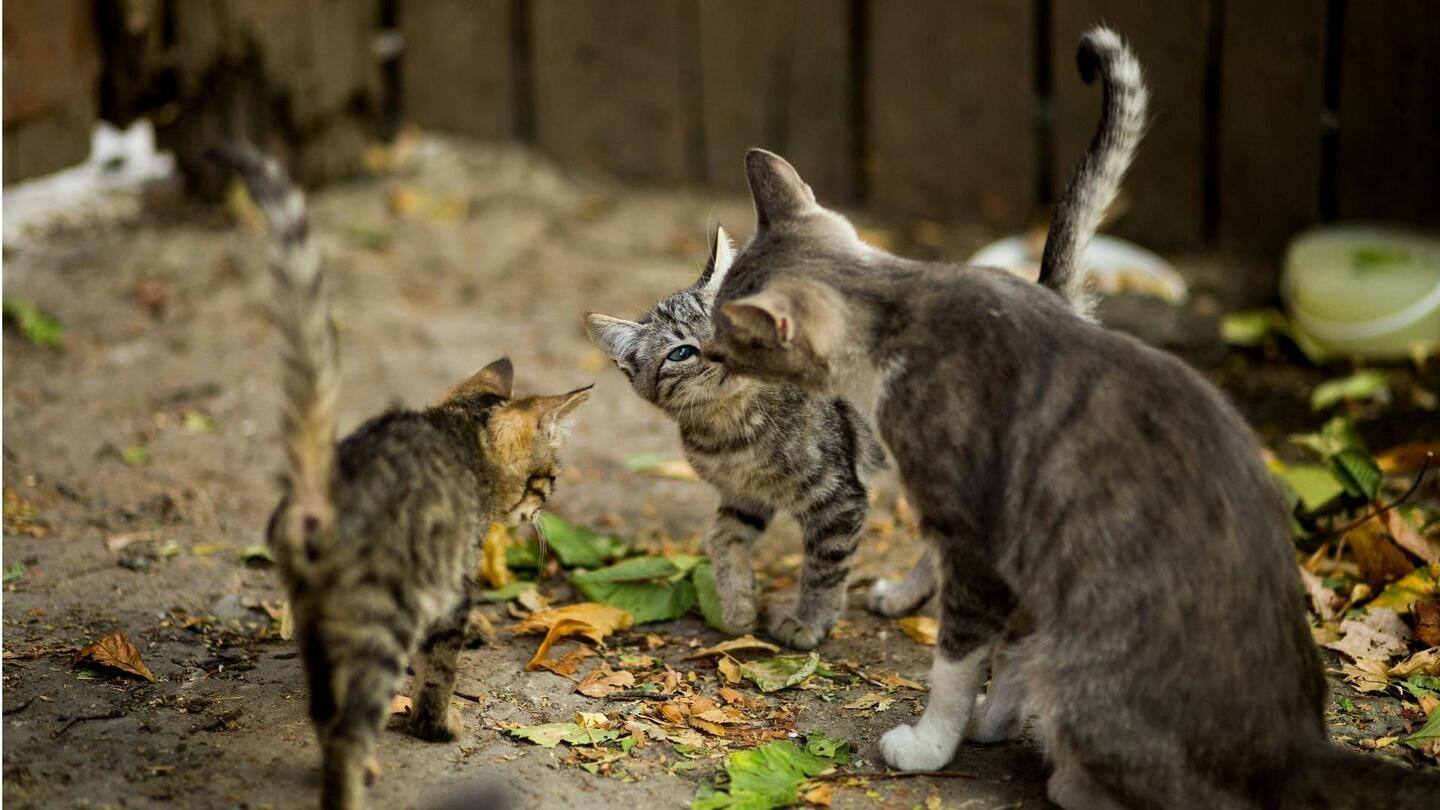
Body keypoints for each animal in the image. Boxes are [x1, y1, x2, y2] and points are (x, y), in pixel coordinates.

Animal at [210, 146, 590, 807]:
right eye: (549, 478)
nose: (542, 511)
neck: (459, 435)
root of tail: (321, 490)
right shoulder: (452, 583)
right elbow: (441, 668)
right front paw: (438, 725)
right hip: (380, 620)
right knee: (347, 728)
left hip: (314, 622)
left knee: (325, 711)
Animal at [699, 25, 1440, 807]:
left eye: (727, 336)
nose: (704, 353)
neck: (903, 304)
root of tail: (1294, 746)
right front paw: (983, 714)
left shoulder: (983, 535)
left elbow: (956, 661)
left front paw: (931, 744)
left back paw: (1061, 775)